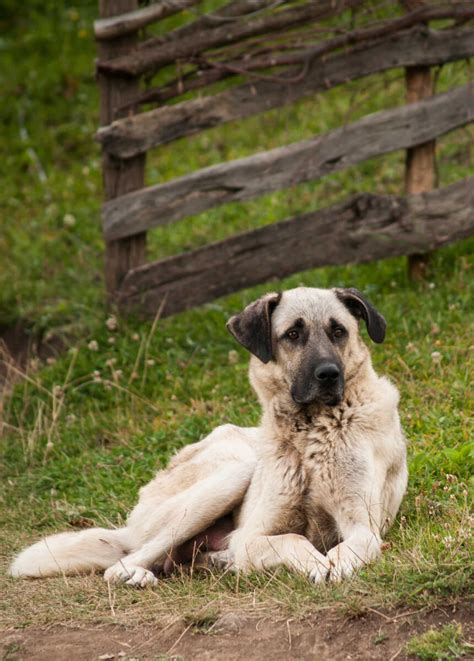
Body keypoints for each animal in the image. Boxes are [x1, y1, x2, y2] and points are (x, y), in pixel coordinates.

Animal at [10, 286, 408, 584]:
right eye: (293, 334)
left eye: (338, 331)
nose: (328, 374)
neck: (310, 432)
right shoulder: (252, 537)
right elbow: (292, 539)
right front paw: (316, 562)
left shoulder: (362, 527)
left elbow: (350, 547)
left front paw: (335, 564)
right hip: (232, 473)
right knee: (123, 562)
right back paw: (137, 574)